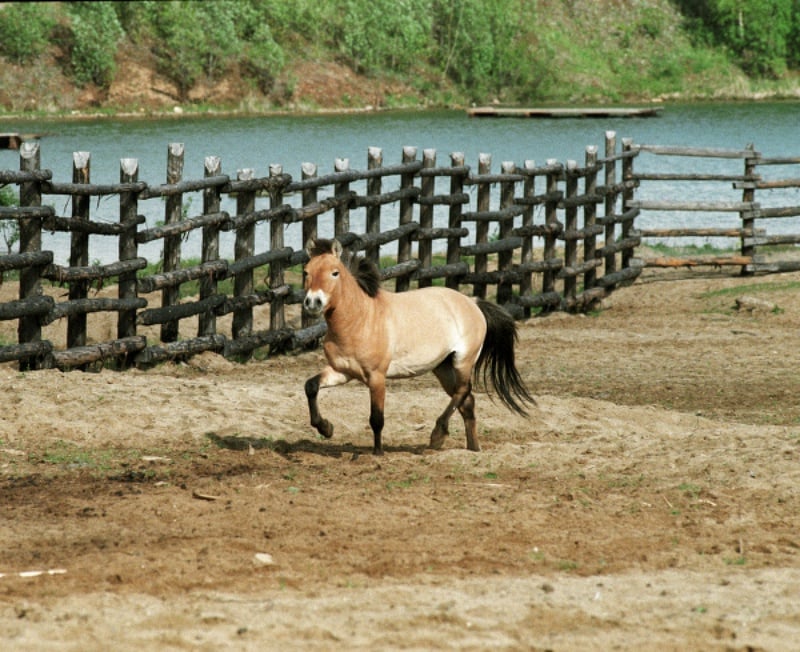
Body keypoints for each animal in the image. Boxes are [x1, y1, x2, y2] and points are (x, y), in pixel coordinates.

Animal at [300, 237, 532, 456]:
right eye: (306, 272)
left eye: (335, 273)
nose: (313, 302)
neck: (360, 319)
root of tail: (473, 303)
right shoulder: (343, 371)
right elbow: (311, 386)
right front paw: (326, 428)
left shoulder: (376, 377)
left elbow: (377, 418)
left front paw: (377, 453)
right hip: (443, 367)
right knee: (467, 402)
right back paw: (473, 448)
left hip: (463, 361)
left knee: (463, 391)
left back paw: (438, 435)